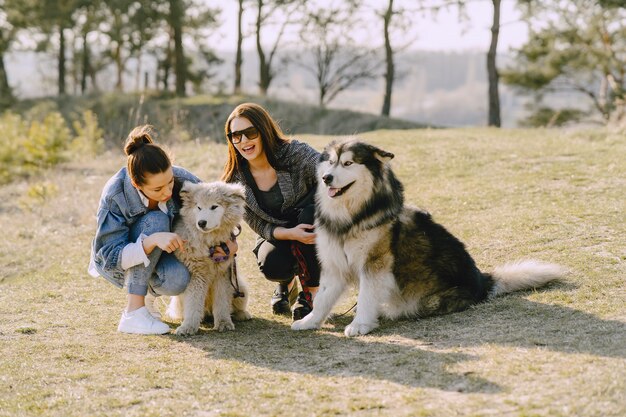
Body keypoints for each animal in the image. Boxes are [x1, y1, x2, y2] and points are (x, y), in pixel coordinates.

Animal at [168, 181, 254, 334]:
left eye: (214, 206)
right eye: (199, 207)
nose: (201, 223)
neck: (210, 244)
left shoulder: (222, 274)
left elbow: (222, 302)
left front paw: (224, 323)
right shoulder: (196, 275)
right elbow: (193, 302)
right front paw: (188, 327)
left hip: (239, 286)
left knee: (236, 305)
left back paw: (242, 314)